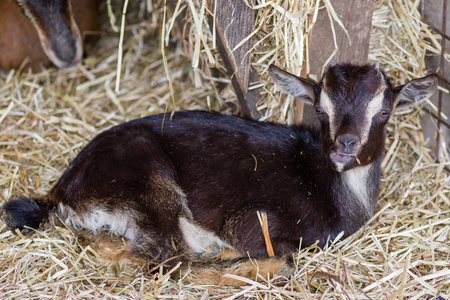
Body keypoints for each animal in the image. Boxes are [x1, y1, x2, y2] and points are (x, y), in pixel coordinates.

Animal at [1, 62, 438, 284]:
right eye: (320, 109)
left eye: (384, 111)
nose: (345, 144)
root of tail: (61, 193)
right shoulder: (255, 220)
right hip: (148, 181)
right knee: (169, 261)